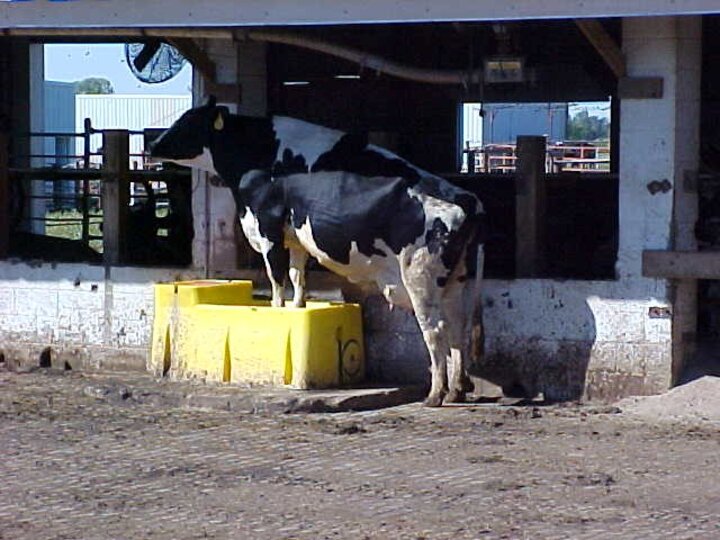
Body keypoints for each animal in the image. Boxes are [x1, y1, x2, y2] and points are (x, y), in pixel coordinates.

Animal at [152, 98, 490, 410]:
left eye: (188, 120)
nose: (154, 144)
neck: (260, 154)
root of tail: (466, 198)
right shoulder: (297, 238)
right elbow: (297, 276)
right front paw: (299, 307)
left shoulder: (269, 229)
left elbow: (277, 280)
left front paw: (278, 312)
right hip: (455, 279)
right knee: (457, 327)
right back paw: (457, 389)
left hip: (419, 276)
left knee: (435, 329)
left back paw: (436, 394)